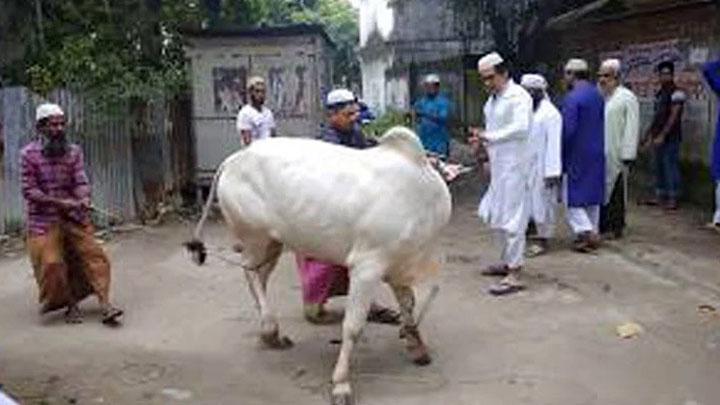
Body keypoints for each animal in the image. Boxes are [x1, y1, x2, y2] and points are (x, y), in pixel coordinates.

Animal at [188, 125, 452, 400]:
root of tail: (236, 158)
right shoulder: (367, 267)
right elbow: (353, 326)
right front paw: (341, 383)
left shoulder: (398, 267)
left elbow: (409, 304)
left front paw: (417, 347)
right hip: (255, 238)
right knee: (250, 272)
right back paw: (270, 328)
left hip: (273, 243)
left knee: (258, 276)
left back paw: (269, 334)